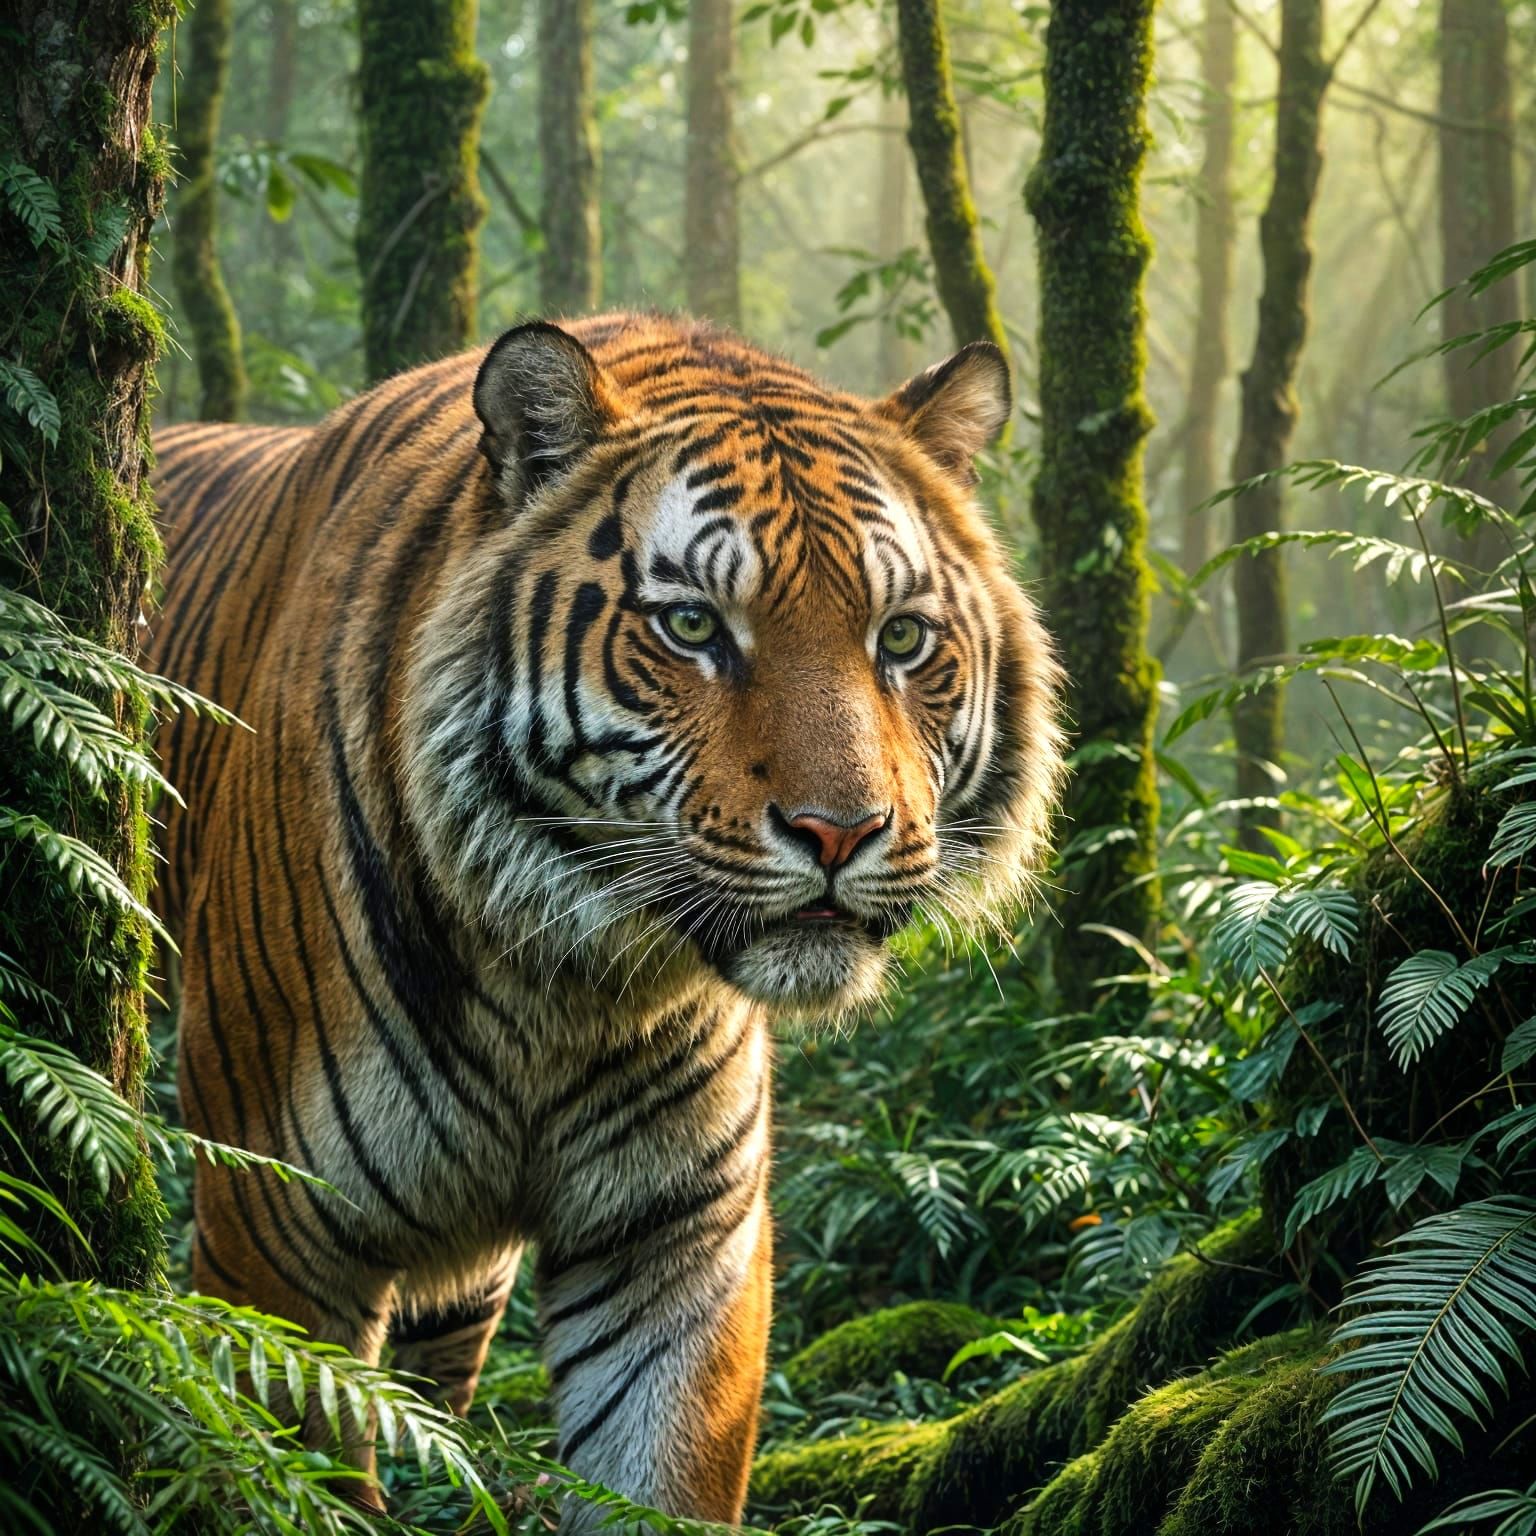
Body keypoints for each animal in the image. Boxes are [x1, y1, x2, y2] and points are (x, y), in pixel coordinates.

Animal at [148, 312, 1064, 1527]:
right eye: (692, 626)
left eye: (903, 638)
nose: (841, 832)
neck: (560, 981)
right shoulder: (279, 1233)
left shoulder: (676, 1242)